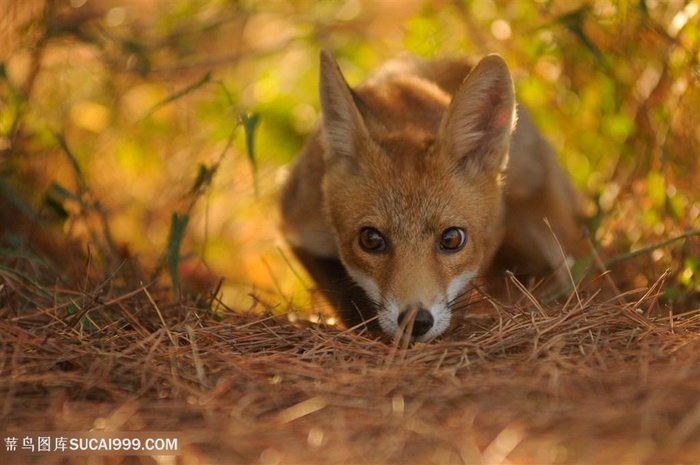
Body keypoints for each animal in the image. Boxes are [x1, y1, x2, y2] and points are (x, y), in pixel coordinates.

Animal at [280, 50, 584, 340]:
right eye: (370, 239)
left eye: (451, 239)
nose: (416, 321)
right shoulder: (299, 225)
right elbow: (344, 297)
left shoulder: (496, 227)